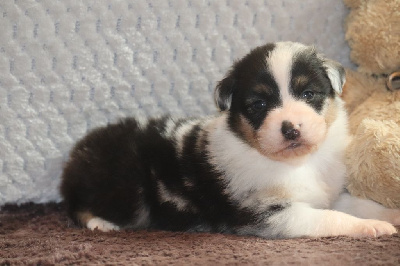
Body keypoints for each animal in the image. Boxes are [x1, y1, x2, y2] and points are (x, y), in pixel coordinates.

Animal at [60, 42, 400, 239]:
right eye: (258, 104)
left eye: (308, 94)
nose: (290, 129)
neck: (298, 163)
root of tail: (76, 156)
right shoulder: (269, 214)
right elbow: (330, 219)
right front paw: (371, 228)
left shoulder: (328, 192)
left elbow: (360, 204)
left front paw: (389, 215)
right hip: (125, 183)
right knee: (78, 207)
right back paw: (100, 223)